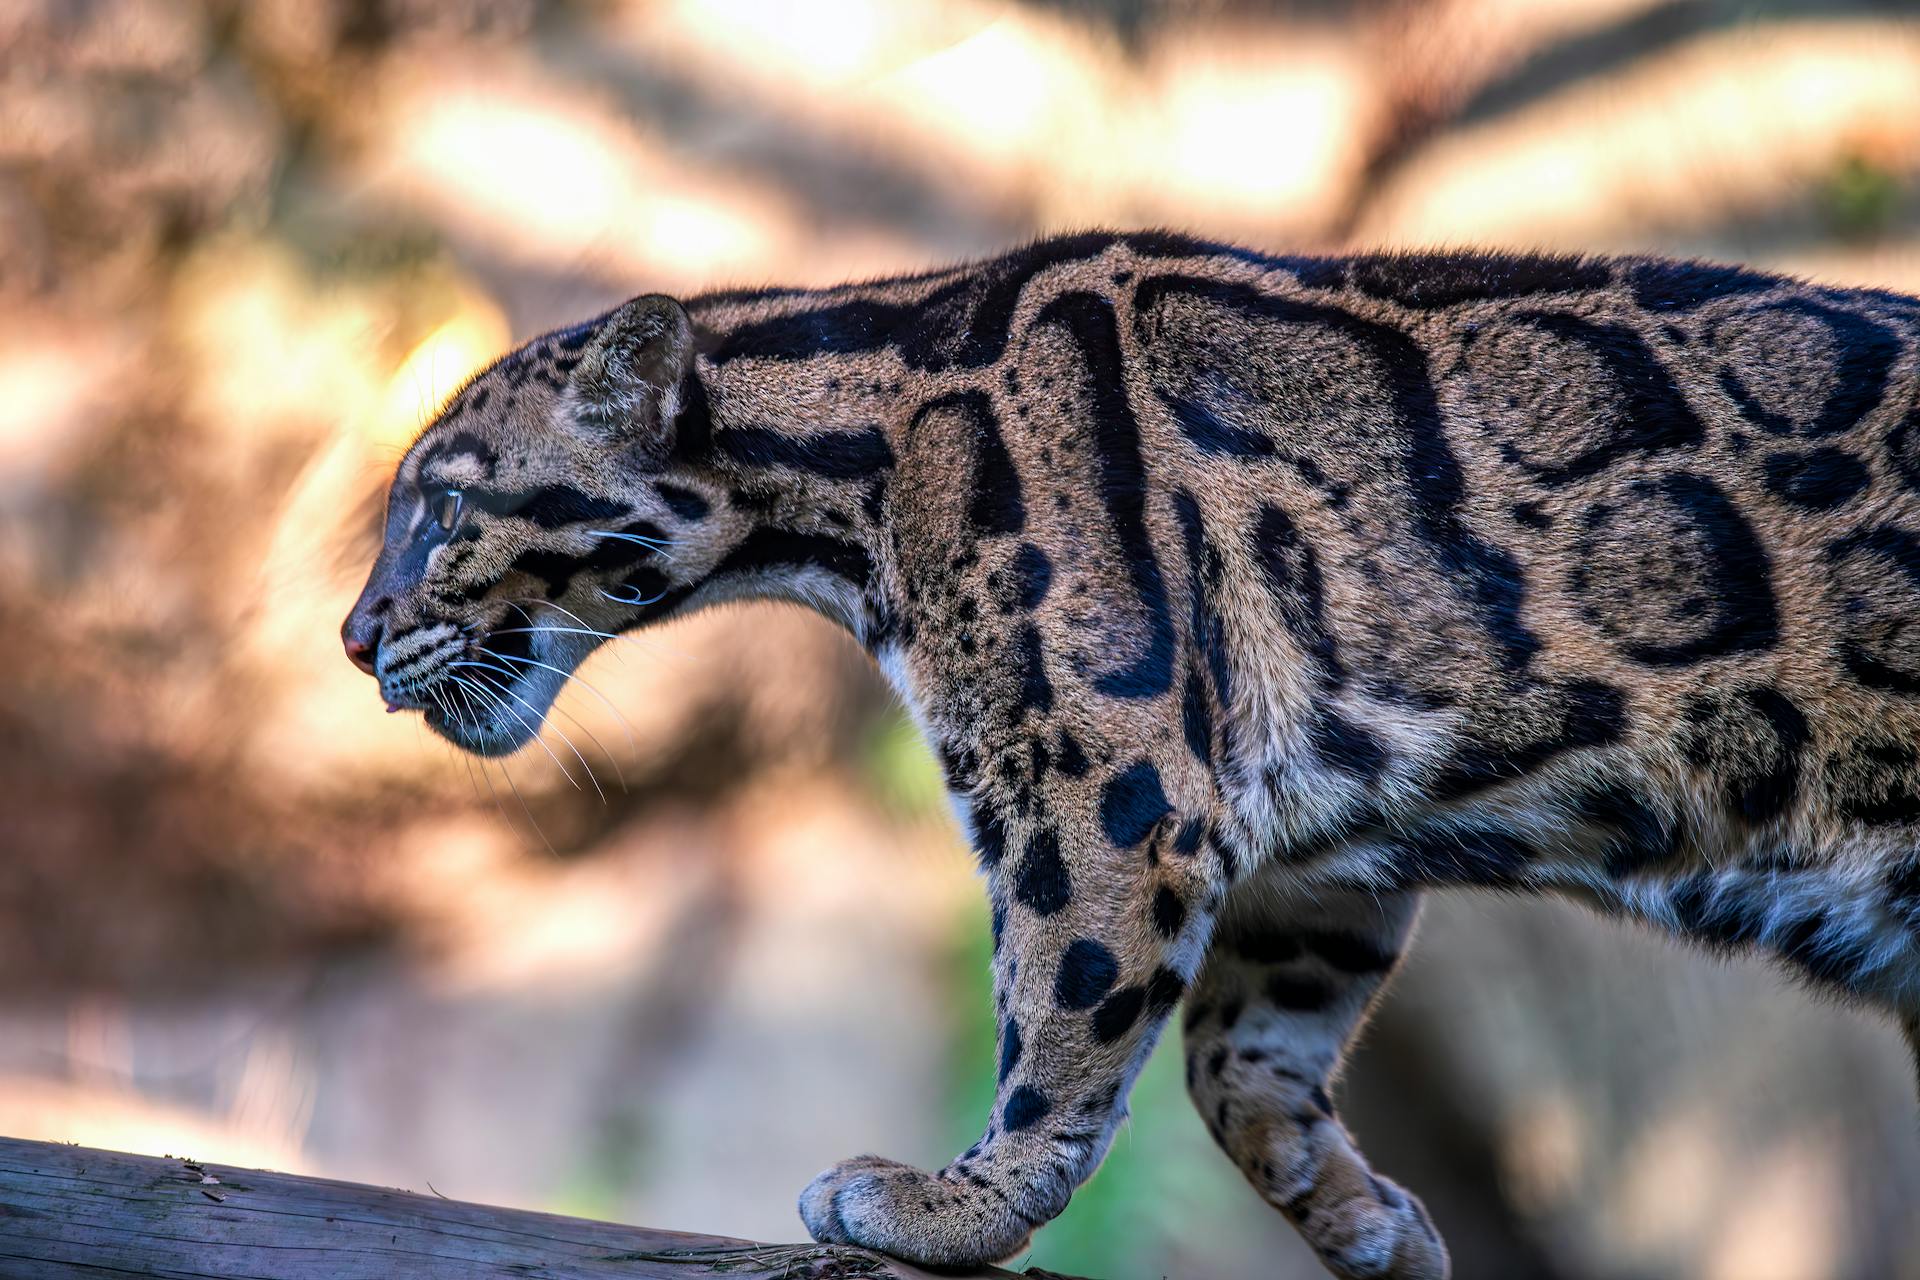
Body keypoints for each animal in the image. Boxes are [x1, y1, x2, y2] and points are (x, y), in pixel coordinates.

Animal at [341, 233, 1920, 1280]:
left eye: (442, 508)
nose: (354, 640)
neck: (854, 472)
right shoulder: (1306, 859)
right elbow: (1242, 1058)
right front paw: (1364, 1219)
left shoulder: (1106, 773)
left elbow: (1065, 998)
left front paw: (959, 1202)